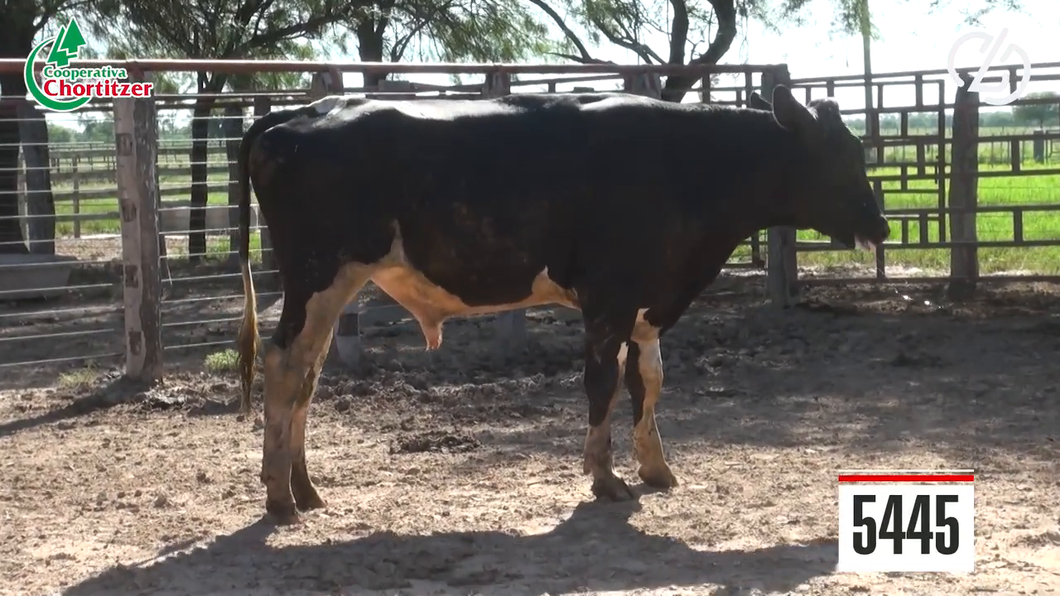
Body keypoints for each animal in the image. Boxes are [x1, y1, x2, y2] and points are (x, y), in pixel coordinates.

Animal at [234, 84, 890, 524]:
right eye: (840, 157)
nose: (881, 225)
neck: (682, 162)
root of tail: (299, 115)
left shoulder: (648, 302)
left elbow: (648, 381)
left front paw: (655, 467)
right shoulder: (610, 296)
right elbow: (602, 382)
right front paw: (605, 476)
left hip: (331, 286)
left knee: (307, 373)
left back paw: (305, 489)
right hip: (318, 274)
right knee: (285, 365)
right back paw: (279, 497)